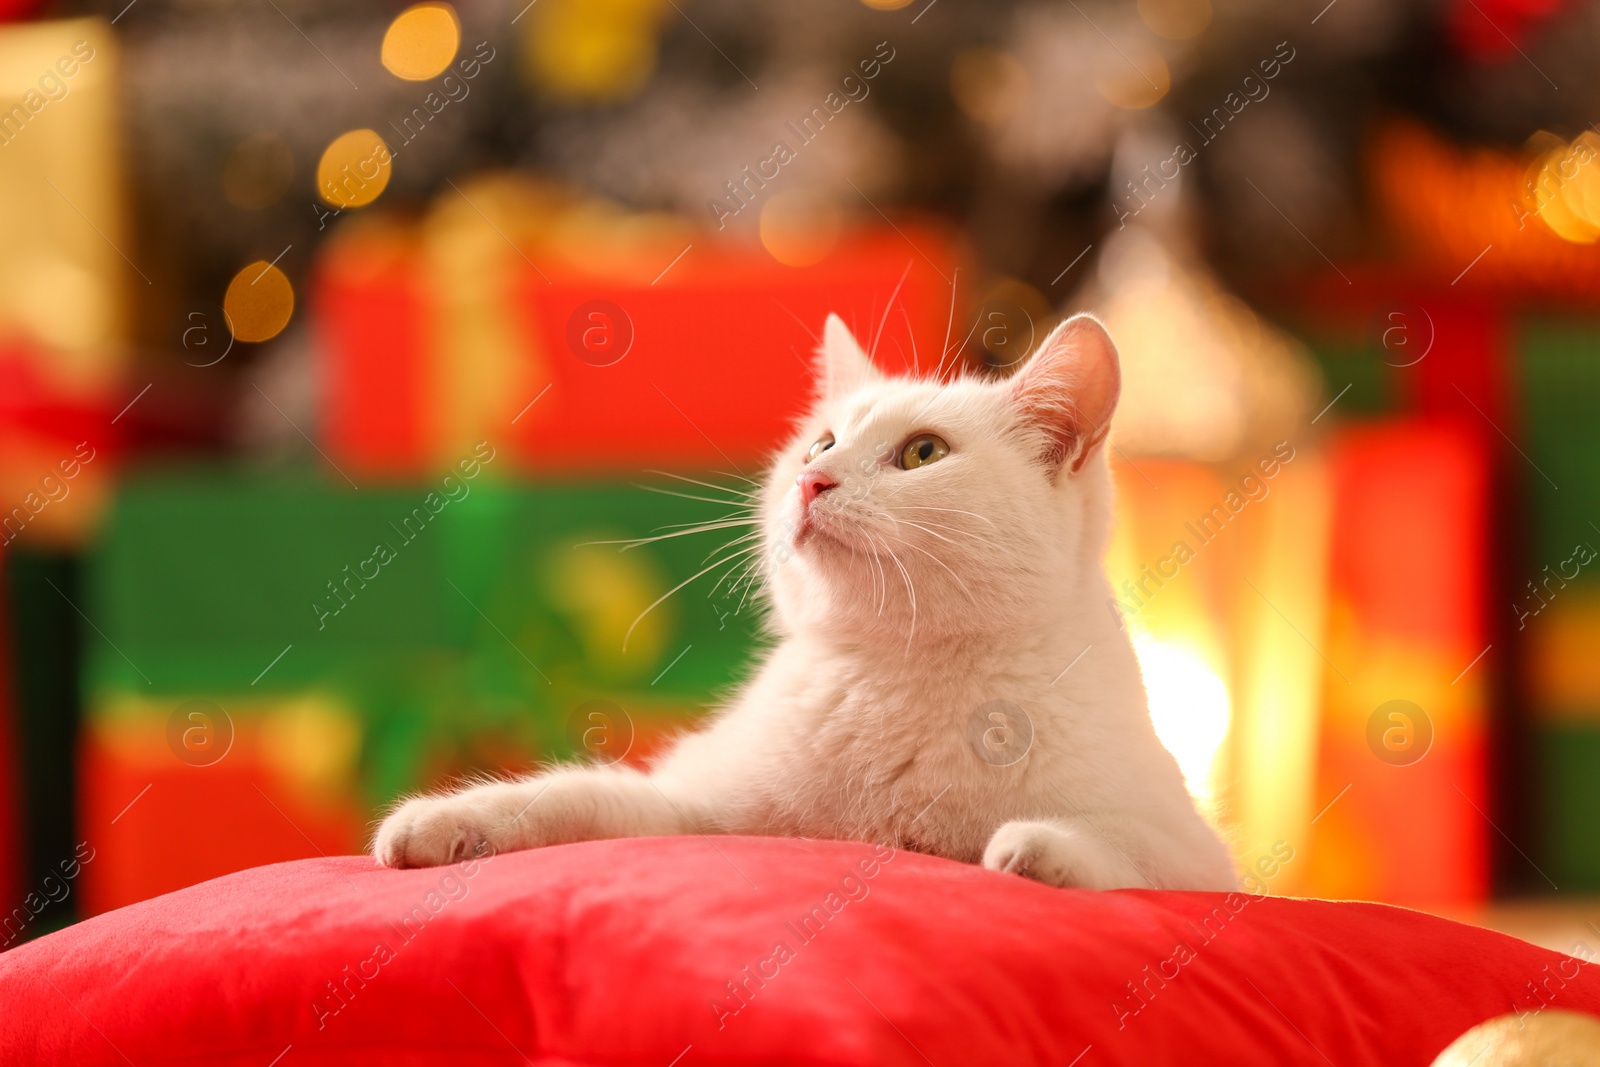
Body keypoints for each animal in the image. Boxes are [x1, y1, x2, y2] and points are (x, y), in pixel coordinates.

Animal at [371, 310, 1235, 895]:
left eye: (923, 452)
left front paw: (1036, 849)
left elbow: (1129, 853)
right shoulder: (697, 809)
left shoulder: (1195, 853)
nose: (811, 481)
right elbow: (580, 797)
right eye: (821, 443)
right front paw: (442, 821)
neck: (896, 675)